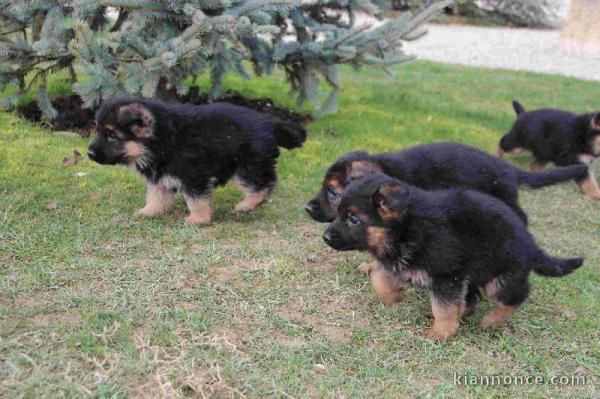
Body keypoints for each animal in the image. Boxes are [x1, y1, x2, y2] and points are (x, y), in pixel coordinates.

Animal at [86, 97, 308, 225]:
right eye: (97, 130)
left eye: (112, 135)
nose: (89, 153)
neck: (161, 139)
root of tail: (270, 123)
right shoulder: (161, 177)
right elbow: (156, 196)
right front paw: (149, 211)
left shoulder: (194, 176)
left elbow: (197, 200)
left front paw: (198, 219)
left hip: (246, 166)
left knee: (265, 184)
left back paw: (246, 205)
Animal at [322, 173, 584, 340]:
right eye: (339, 213)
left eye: (353, 219)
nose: (324, 236)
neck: (407, 227)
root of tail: (532, 245)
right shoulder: (397, 263)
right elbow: (378, 278)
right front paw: (395, 295)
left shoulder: (447, 277)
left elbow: (445, 308)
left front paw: (441, 333)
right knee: (471, 300)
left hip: (500, 279)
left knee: (515, 296)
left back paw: (491, 320)